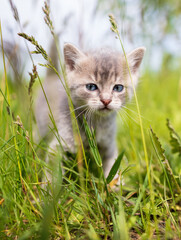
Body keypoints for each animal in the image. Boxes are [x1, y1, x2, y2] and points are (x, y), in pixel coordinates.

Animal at [35, 42, 146, 178]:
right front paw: (49, 184)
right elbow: (52, 174)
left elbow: (113, 171)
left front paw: (114, 183)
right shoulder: (57, 147)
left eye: (118, 88)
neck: (96, 123)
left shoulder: (109, 147)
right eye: (91, 87)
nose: (106, 100)